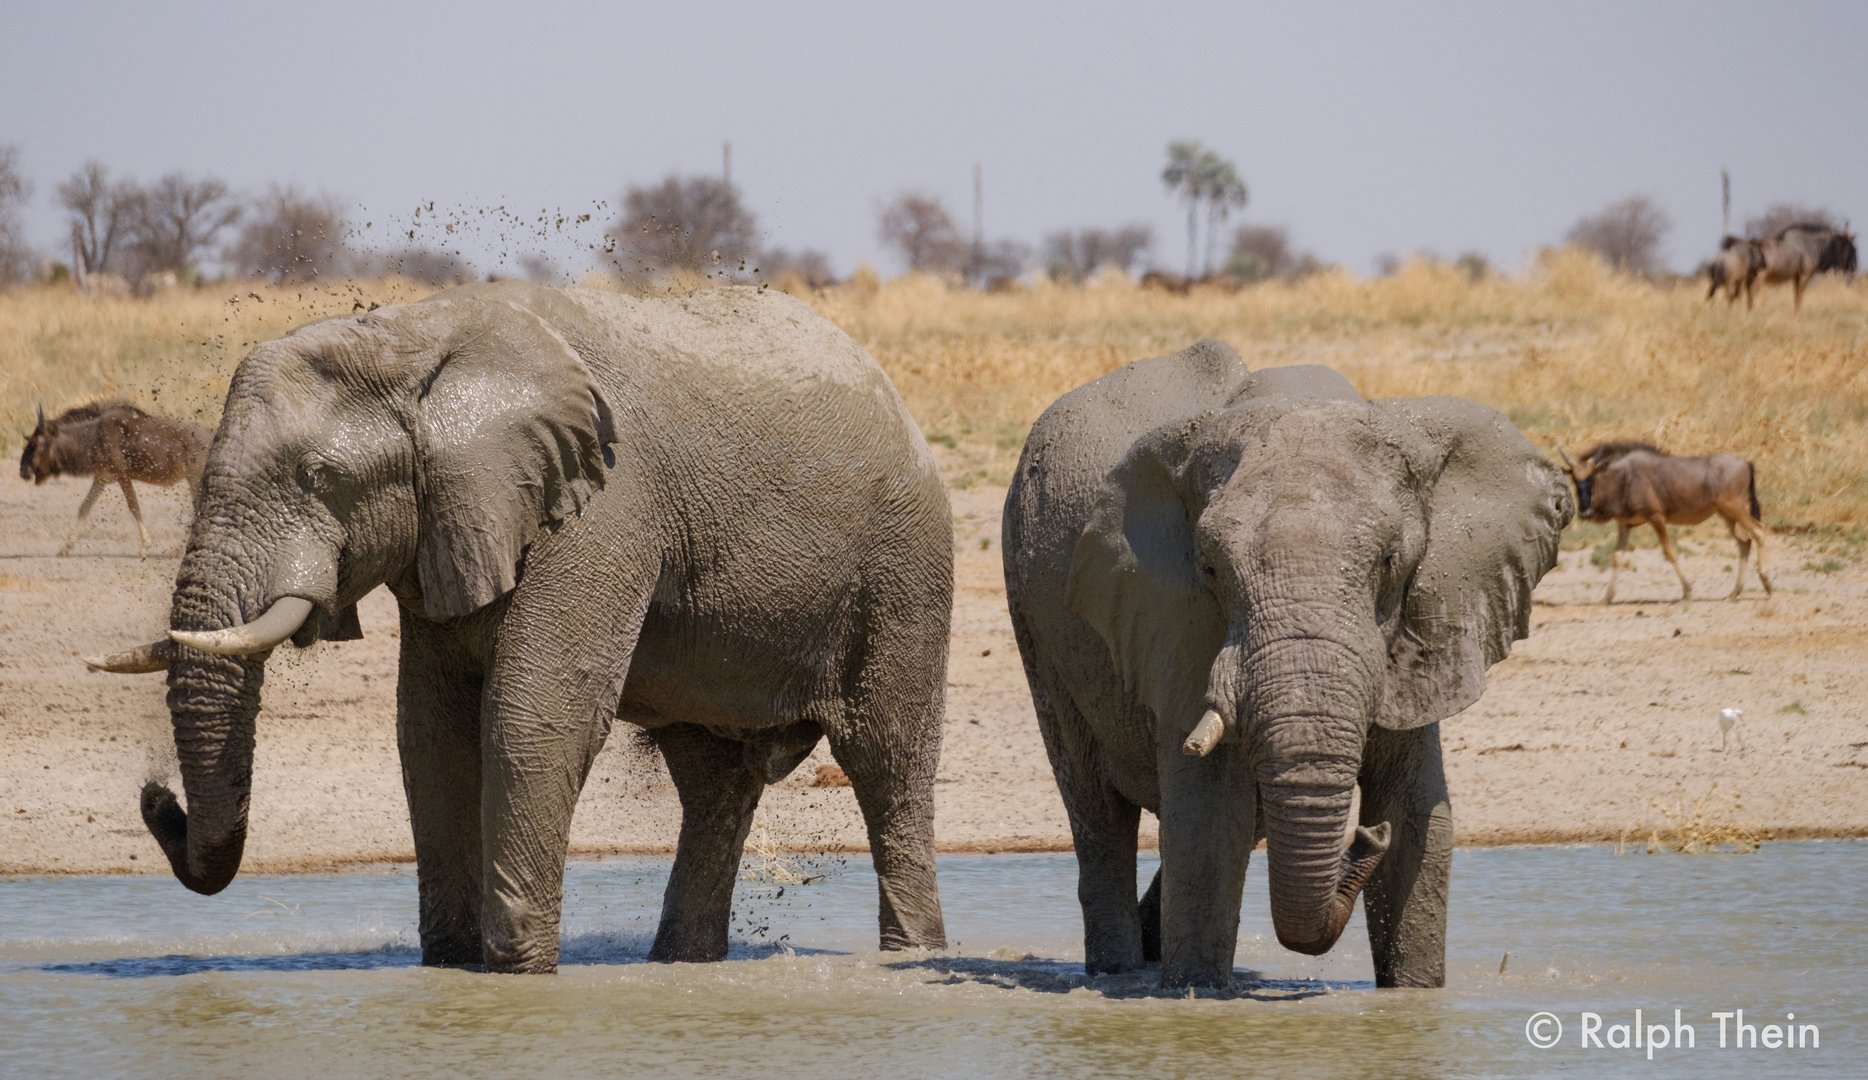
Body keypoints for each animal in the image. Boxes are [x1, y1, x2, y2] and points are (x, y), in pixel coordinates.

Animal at [91, 276, 948, 964]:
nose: (154, 795)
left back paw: (911, 959)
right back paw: (681, 965)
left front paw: (517, 971)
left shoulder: (603, 507)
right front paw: (450, 966)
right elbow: (430, 734)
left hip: (904, 567)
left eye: (320, 476)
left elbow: (531, 715)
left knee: (887, 761)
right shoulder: (446, 528)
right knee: (713, 782)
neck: (411, 338)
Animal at [1001, 341, 1569, 986]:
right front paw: (1195, 996)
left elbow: (1419, 817)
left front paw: (1414, 996)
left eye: (1392, 561)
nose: (1364, 834)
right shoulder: (1176, 625)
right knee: (1099, 817)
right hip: (1033, 621)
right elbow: (1209, 824)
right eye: (1210, 569)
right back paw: (1115, 973)